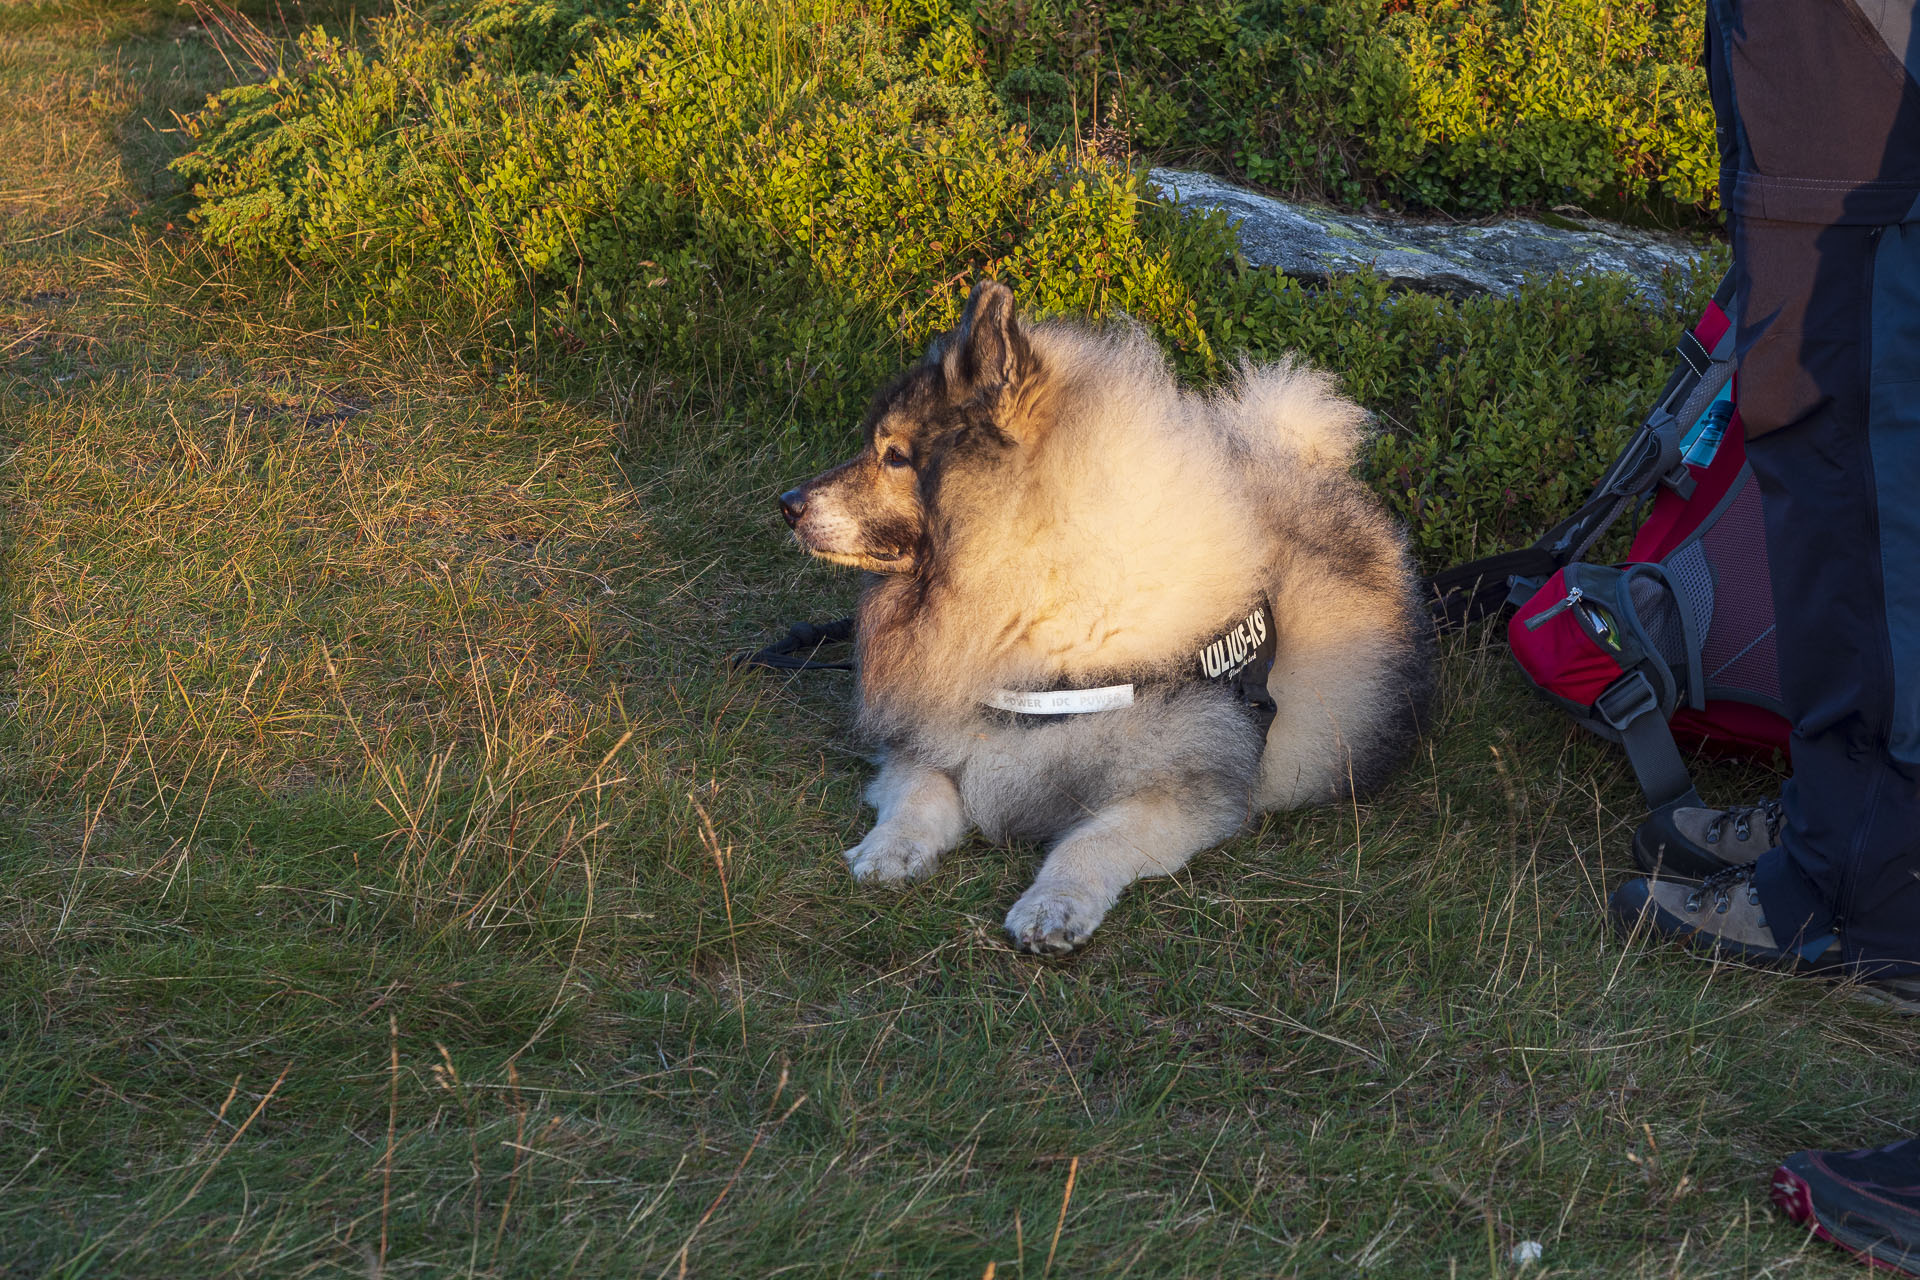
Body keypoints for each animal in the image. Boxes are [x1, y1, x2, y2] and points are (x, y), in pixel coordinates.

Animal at [783, 285, 1443, 955]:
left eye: (893, 456)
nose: (788, 504)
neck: (1041, 607)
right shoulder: (931, 743)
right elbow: (917, 798)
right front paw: (886, 852)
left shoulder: (1174, 793)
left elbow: (1089, 842)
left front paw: (1052, 907)